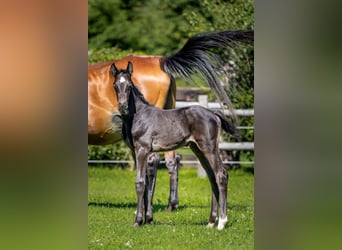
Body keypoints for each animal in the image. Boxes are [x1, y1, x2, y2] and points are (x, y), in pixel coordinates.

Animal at [112, 61, 240, 229]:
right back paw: (211, 221)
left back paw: (222, 222)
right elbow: (145, 184)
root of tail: (214, 114)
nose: (122, 107)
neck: (138, 116)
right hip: (198, 149)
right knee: (212, 177)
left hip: (209, 148)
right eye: (115, 85)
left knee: (221, 175)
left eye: (129, 85)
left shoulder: (142, 150)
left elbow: (140, 183)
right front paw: (147, 219)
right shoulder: (136, 152)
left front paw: (138, 221)